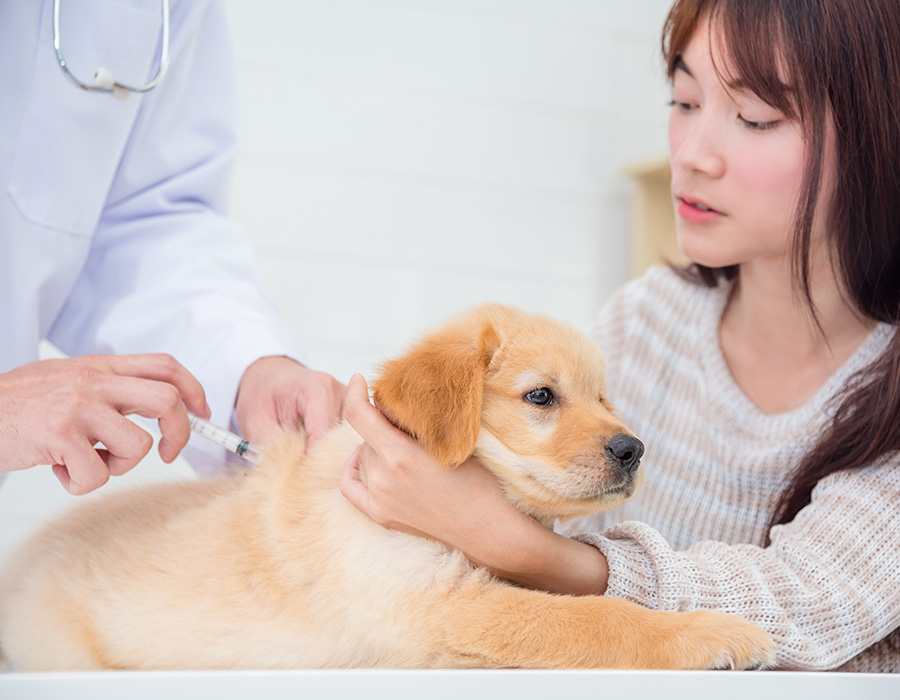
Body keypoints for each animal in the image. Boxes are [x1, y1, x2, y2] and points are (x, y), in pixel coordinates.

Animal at [0, 304, 772, 668]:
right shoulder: (443, 607)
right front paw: (712, 633)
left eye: (606, 398)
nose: (632, 449)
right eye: (541, 397)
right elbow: (595, 618)